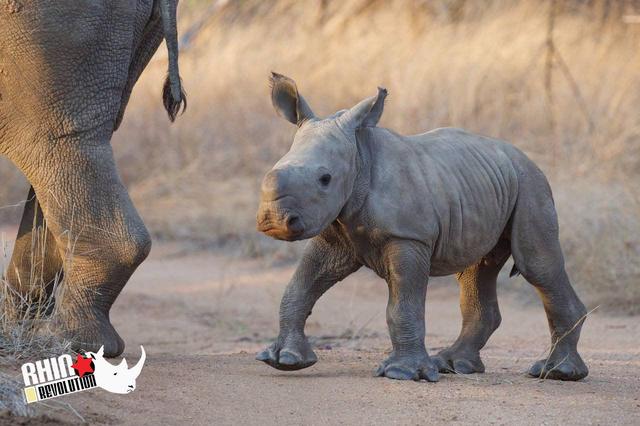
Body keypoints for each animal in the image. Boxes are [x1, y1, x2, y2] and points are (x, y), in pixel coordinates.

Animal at [255, 73, 589, 382]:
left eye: (325, 179)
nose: (274, 220)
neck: (360, 156)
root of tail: (525, 157)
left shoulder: (408, 237)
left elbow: (403, 305)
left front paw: (402, 373)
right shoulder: (335, 232)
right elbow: (300, 286)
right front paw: (285, 359)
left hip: (531, 184)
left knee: (537, 266)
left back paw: (555, 372)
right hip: (483, 184)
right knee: (476, 270)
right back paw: (454, 365)